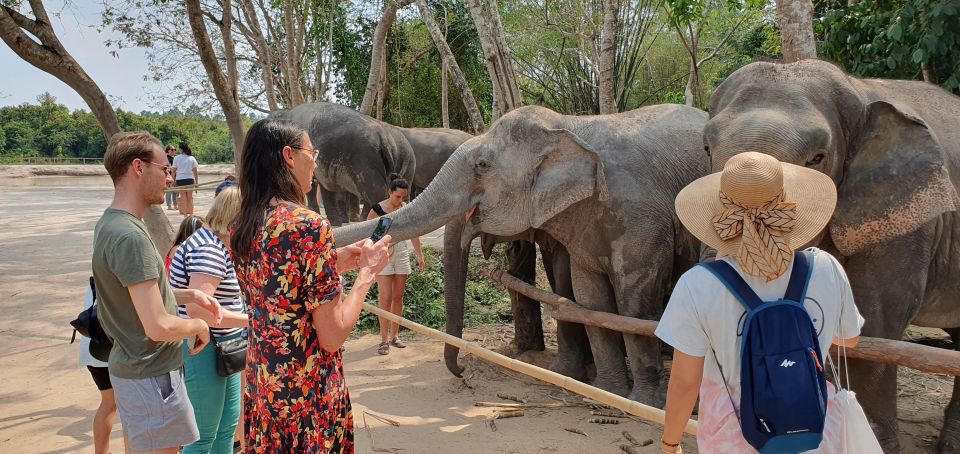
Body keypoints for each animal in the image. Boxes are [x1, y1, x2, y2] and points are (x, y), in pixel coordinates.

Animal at [336, 103, 704, 404]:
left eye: (482, 165)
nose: (462, 372)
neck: (570, 125)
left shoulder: (639, 216)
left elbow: (634, 300)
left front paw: (640, 403)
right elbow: (590, 298)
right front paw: (606, 393)